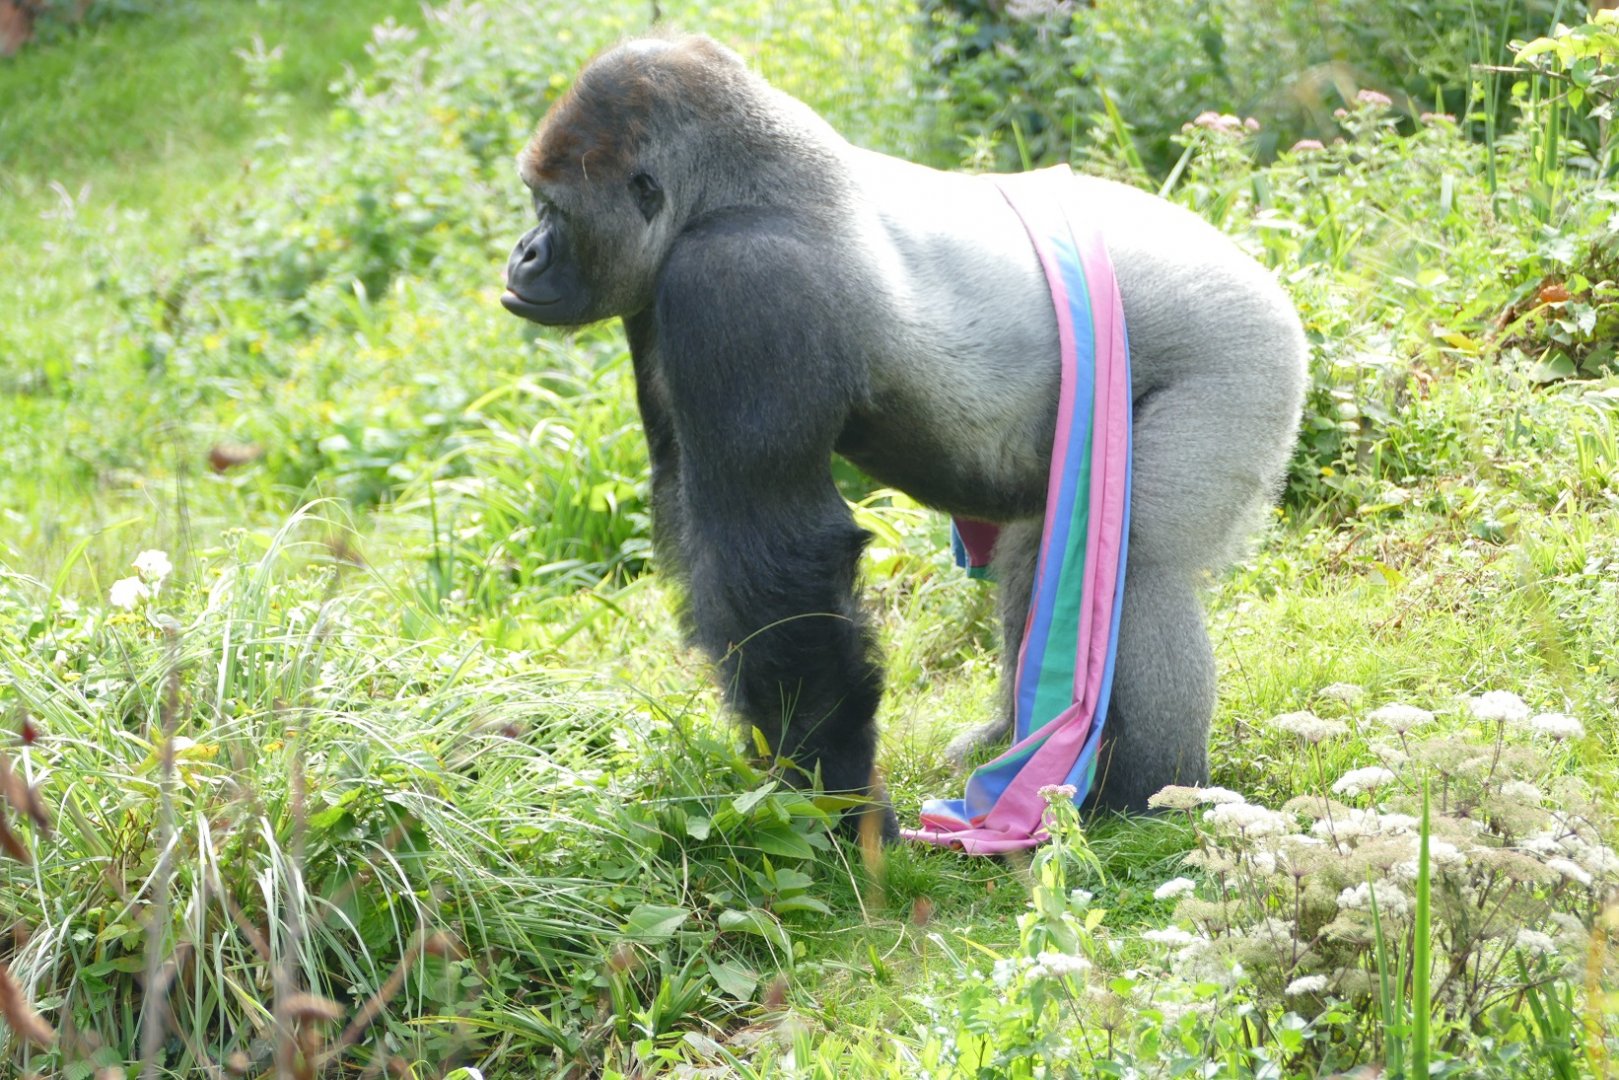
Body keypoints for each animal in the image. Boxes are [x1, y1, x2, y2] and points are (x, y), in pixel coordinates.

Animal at [500, 34, 1308, 841]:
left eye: (552, 208)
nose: (523, 254)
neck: (733, 188)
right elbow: (699, 515)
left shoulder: (740, 278)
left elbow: (778, 553)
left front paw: (834, 792)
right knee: (1043, 557)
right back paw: (1019, 747)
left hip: (1242, 350)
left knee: (1142, 567)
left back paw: (1148, 795)